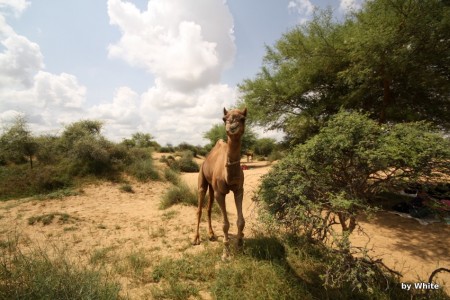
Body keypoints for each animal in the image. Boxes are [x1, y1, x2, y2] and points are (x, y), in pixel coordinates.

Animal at [192, 107, 248, 258]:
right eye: (224, 119)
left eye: (243, 118)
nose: (232, 127)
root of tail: (205, 160)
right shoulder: (220, 193)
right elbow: (225, 224)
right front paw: (226, 253)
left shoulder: (239, 190)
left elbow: (241, 221)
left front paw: (240, 246)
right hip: (202, 180)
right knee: (199, 208)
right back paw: (195, 239)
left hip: (212, 187)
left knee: (209, 208)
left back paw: (211, 235)